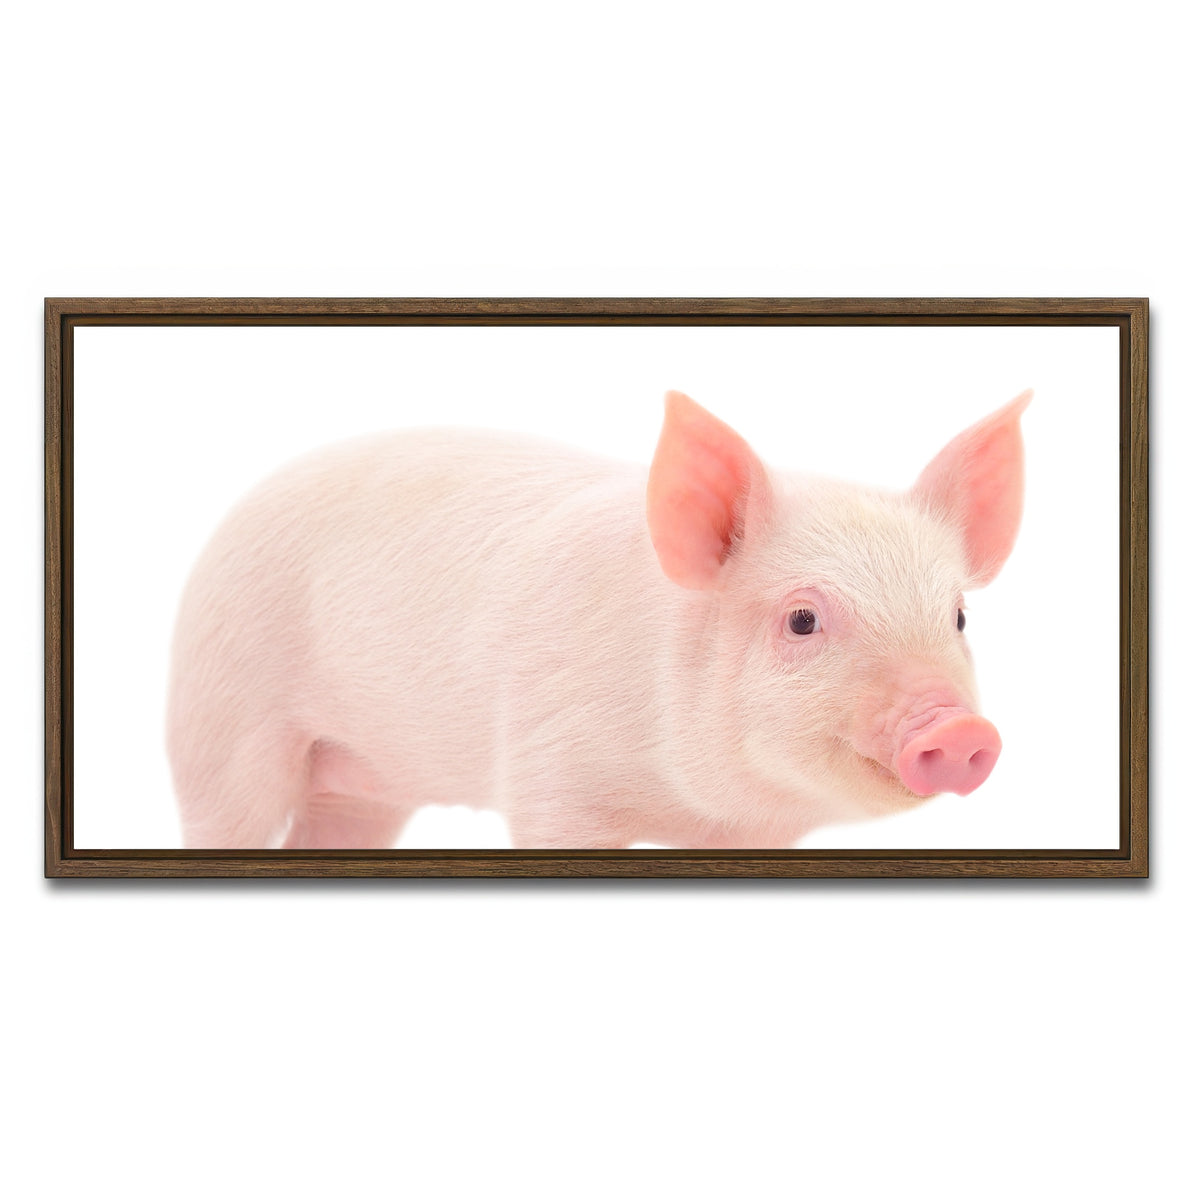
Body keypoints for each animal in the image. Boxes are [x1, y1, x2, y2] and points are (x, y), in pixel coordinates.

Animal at [167, 388, 1030, 850]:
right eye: (802, 620)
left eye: (957, 616)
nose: (959, 730)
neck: (691, 808)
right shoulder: (548, 773)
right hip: (221, 717)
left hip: (365, 783)